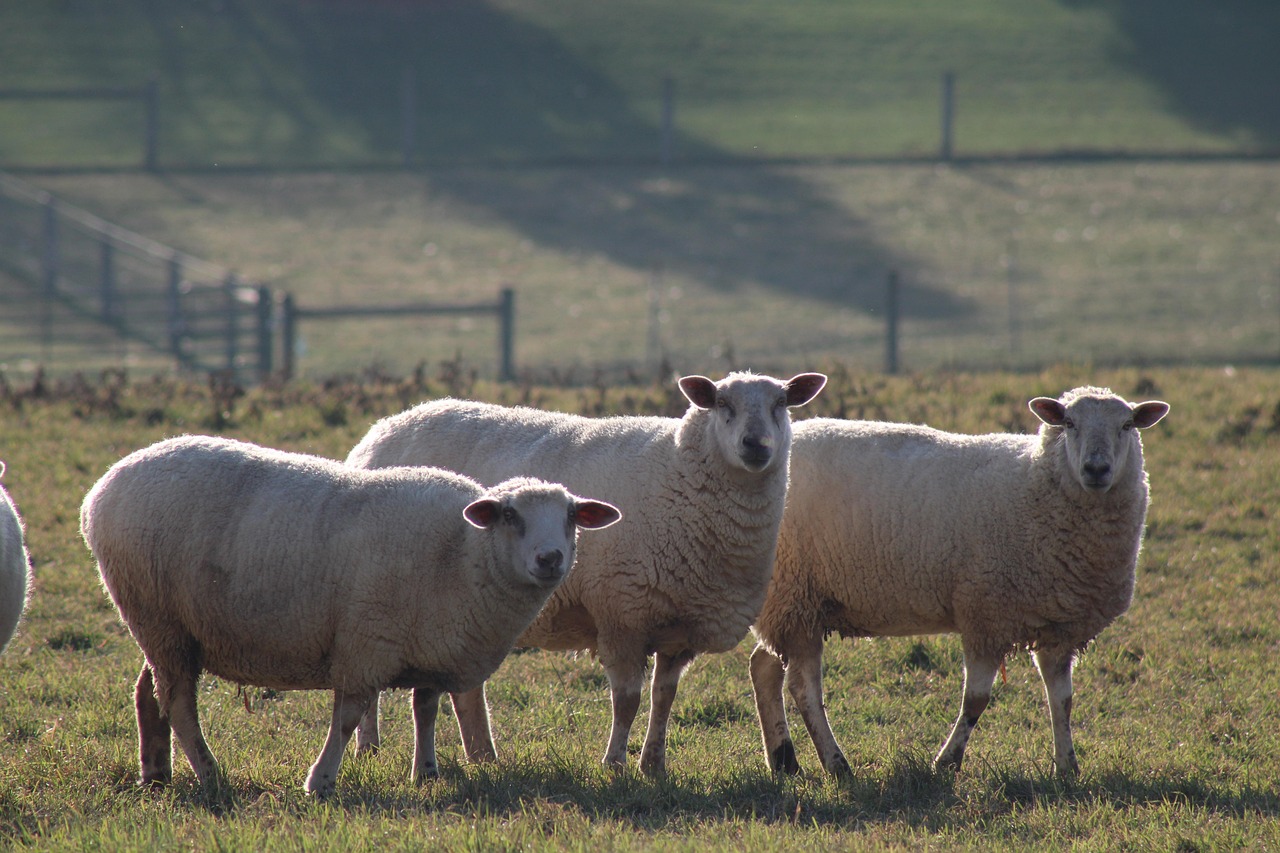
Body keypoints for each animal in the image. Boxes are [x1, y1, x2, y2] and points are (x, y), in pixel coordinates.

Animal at [80, 435, 620, 796]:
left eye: (572, 517)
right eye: (510, 515)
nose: (550, 559)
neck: (463, 553)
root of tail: (99, 491)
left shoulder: (425, 642)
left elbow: (425, 710)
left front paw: (426, 774)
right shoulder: (365, 645)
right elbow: (347, 719)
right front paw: (320, 781)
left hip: (165, 626)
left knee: (148, 693)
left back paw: (156, 774)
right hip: (157, 616)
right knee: (178, 702)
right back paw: (211, 775)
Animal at [346, 371, 827, 776]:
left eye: (781, 402)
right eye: (722, 403)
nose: (756, 445)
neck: (681, 477)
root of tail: (384, 426)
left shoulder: (678, 626)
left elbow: (664, 698)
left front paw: (653, 765)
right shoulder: (621, 613)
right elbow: (627, 701)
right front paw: (614, 763)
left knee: (466, 689)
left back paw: (483, 755)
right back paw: (369, 748)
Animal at [750, 386, 1169, 779]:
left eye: (1127, 425)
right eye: (1068, 423)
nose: (1096, 469)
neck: (1036, 484)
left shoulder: (1059, 628)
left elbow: (1062, 702)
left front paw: (1067, 767)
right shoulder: (985, 615)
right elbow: (976, 700)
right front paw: (947, 761)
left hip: (789, 603)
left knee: (764, 667)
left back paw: (784, 761)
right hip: (794, 593)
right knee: (803, 688)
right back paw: (836, 764)